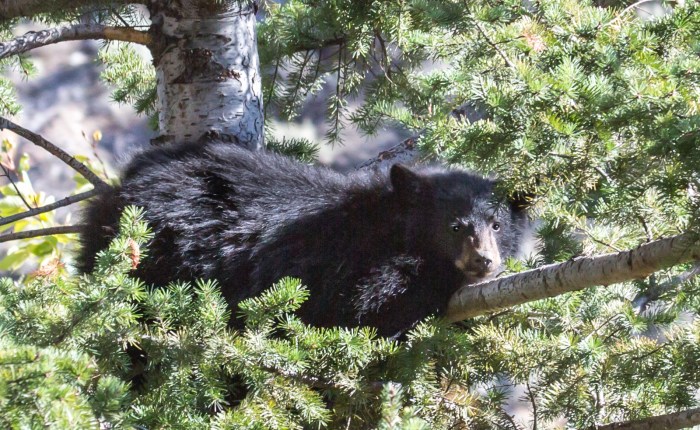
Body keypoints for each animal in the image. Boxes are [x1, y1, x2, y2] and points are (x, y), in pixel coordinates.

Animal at [78, 140, 529, 338]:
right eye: (454, 227)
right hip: (163, 250)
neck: (389, 225)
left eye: (497, 225)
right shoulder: (341, 257)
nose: (484, 262)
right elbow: (363, 303)